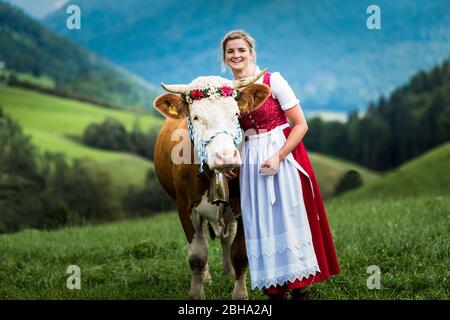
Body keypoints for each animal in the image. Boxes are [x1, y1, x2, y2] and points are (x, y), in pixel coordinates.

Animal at [153, 70, 268, 300]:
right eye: (196, 117)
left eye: (236, 114)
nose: (225, 157)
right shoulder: (185, 206)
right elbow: (197, 256)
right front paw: (197, 293)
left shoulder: (244, 205)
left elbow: (240, 254)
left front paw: (240, 293)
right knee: (205, 238)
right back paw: (207, 276)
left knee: (227, 238)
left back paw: (228, 272)